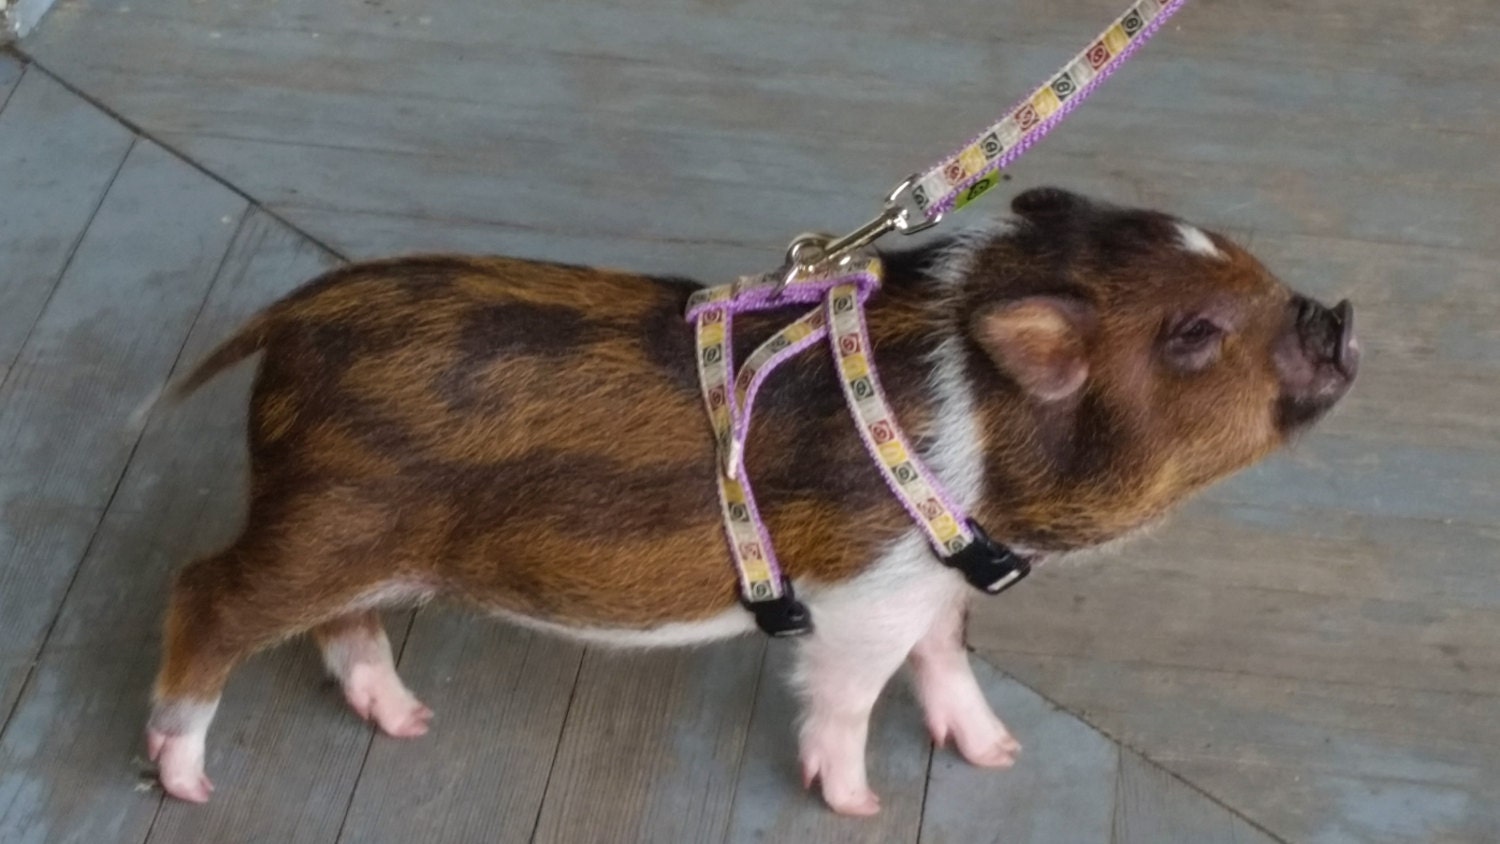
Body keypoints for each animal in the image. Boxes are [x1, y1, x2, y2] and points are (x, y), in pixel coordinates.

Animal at [144, 188, 1358, 813]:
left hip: (363, 542)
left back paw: (407, 722)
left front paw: (998, 757)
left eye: (1247, 265)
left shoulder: (933, 583)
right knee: (204, 595)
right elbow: (851, 693)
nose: (1339, 314)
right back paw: (188, 781)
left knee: (337, 629)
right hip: (323, 521)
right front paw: (861, 807)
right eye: (1193, 334)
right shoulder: (866, 594)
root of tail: (293, 321)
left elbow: (946, 659)